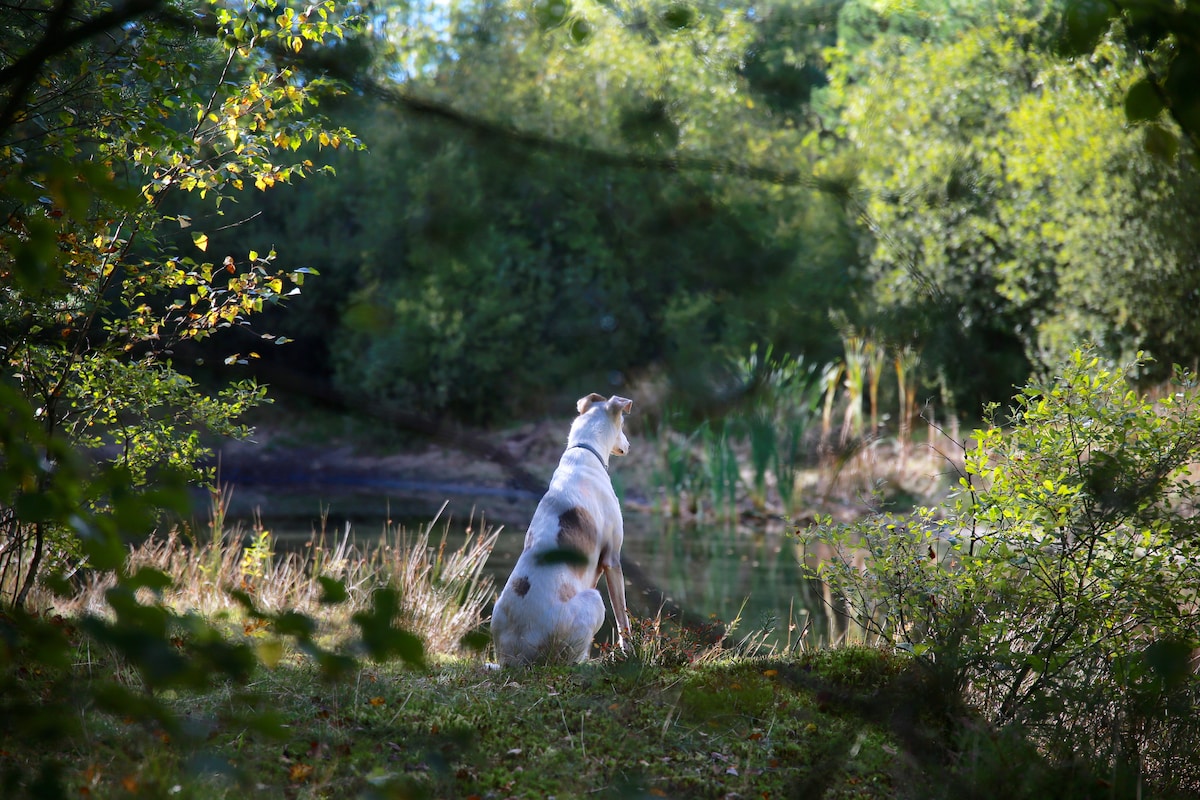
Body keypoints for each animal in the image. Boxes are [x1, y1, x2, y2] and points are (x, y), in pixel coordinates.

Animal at [489, 391, 633, 666]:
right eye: (623, 424)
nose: (629, 446)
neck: (585, 450)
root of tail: (517, 658)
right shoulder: (612, 560)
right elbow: (623, 619)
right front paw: (630, 652)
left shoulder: (597, 569)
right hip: (594, 600)